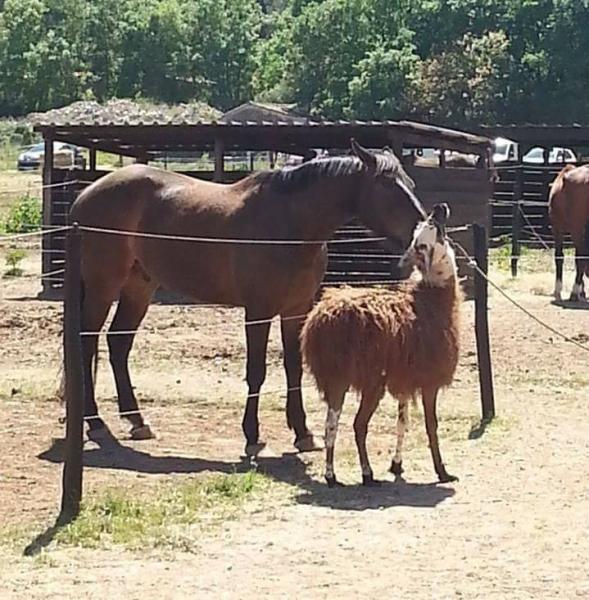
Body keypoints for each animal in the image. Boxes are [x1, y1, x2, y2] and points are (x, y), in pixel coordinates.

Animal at [71, 138, 424, 452]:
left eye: (411, 183)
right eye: (388, 187)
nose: (422, 235)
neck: (288, 226)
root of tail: (86, 194)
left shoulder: (295, 309)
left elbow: (293, 367)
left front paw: (302, 432)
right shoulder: (258, 311)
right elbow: (257, 371)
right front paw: (252, 434)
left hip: (139, 287)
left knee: (118, 344)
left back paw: (136, 420)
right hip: (104, 286)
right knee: (87, 343)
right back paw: (95, 421)